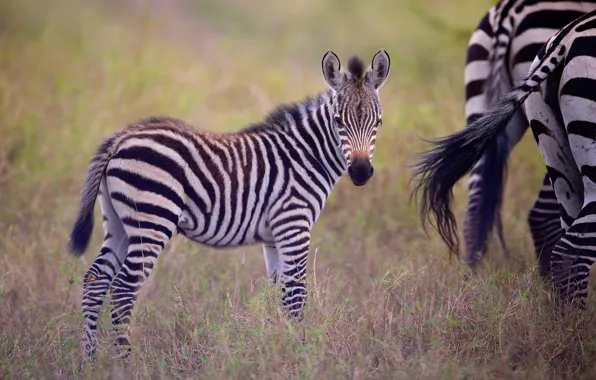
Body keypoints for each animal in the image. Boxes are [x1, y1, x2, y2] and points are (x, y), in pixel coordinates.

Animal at [70, 50, 392, 360]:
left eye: (378, 122)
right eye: (338, 121)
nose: (361, 172)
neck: (306, 156)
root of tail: (121, 137)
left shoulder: (273, 236)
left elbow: (277, 292)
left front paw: (275, 344)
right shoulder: (294, 224)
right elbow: (296, 294)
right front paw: (299, 351)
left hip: (118, 222)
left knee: (95, 280)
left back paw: (90, 359)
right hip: (152, 219)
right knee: (123, 289)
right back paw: (124, 361)